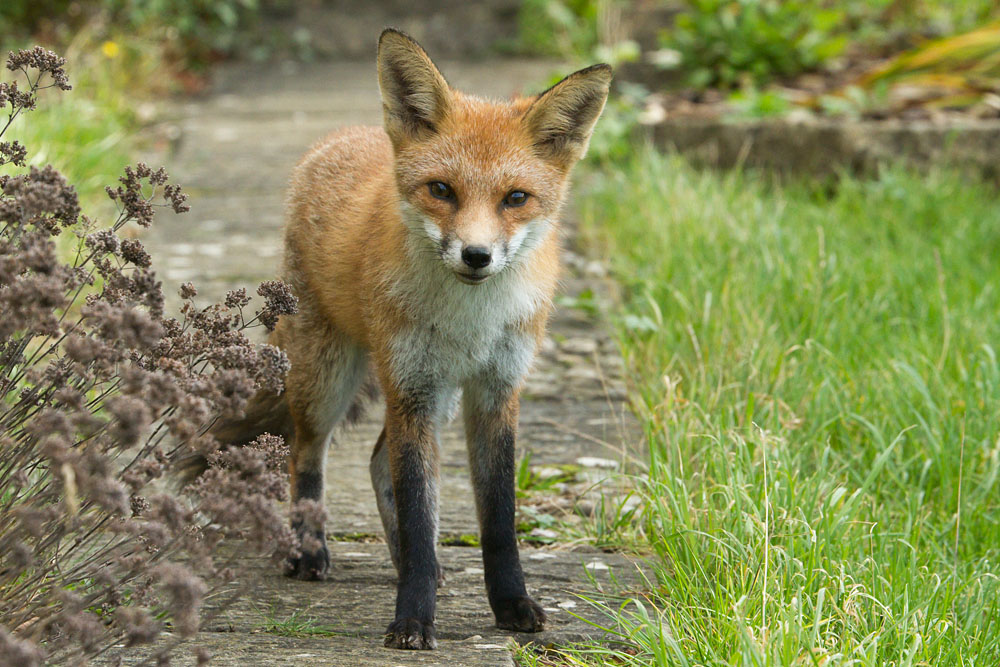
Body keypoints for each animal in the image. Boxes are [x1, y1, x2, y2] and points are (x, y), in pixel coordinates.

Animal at [203, 29, 611, 649]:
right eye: (441, 189)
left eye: (515, 198)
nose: (476, 255)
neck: (470, 318)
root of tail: (340, 137)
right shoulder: (412, 391)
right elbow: (420, 513)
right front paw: (413, 618)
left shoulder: (495, 392)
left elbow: (498, 519)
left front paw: (510, 604)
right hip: (330, 378)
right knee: (305, 456)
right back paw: (310, 551)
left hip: (425, 395)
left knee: (376, 462)